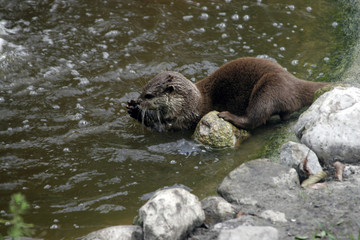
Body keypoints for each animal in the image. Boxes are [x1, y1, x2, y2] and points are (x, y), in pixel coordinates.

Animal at [127, 57, 330, 132]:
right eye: (142, 91)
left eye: (148, 96)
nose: (138, 100)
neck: (191, 101)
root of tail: (294, 81)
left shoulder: (188, 117)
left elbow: (166, 128)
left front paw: (136, 112)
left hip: (269, 88)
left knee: (255, 118)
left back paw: (227, 116)